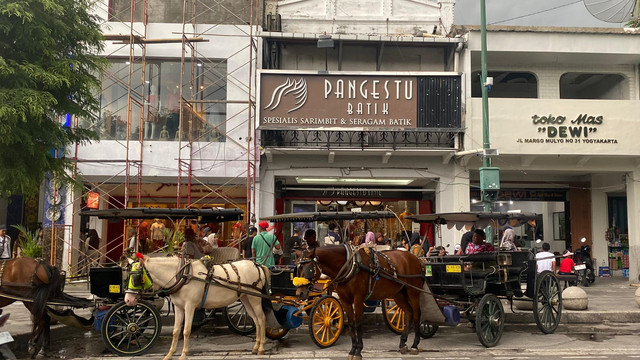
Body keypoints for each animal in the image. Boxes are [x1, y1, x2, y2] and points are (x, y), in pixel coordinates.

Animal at [124, 255, 270, 358]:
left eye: (136, 278)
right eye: (127, 277)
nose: (128, 299)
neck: (182, 276)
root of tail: (258, 265)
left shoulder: (190, 306)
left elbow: (186, 330)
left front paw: (183, 354)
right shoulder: (179, 307)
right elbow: (176, 330)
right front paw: (170, 354)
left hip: (255, 297)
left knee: (262, 318)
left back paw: (261, 347)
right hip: (245, 298)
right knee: (256, 320)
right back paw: (256, 346)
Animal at [298, 245, 428, 360]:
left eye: (308, 268)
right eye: (297, 268)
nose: (300, 293)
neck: (349, 265)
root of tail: (417, 259)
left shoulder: (358, 298)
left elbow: (359, 323)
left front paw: (358, 351)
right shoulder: (345, 300)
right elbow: (351, 323)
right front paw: (352, 350)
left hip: (413, 292)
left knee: (417, 314)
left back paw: (414, 345)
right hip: (399, 294)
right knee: (409, 313)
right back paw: (403, 343)